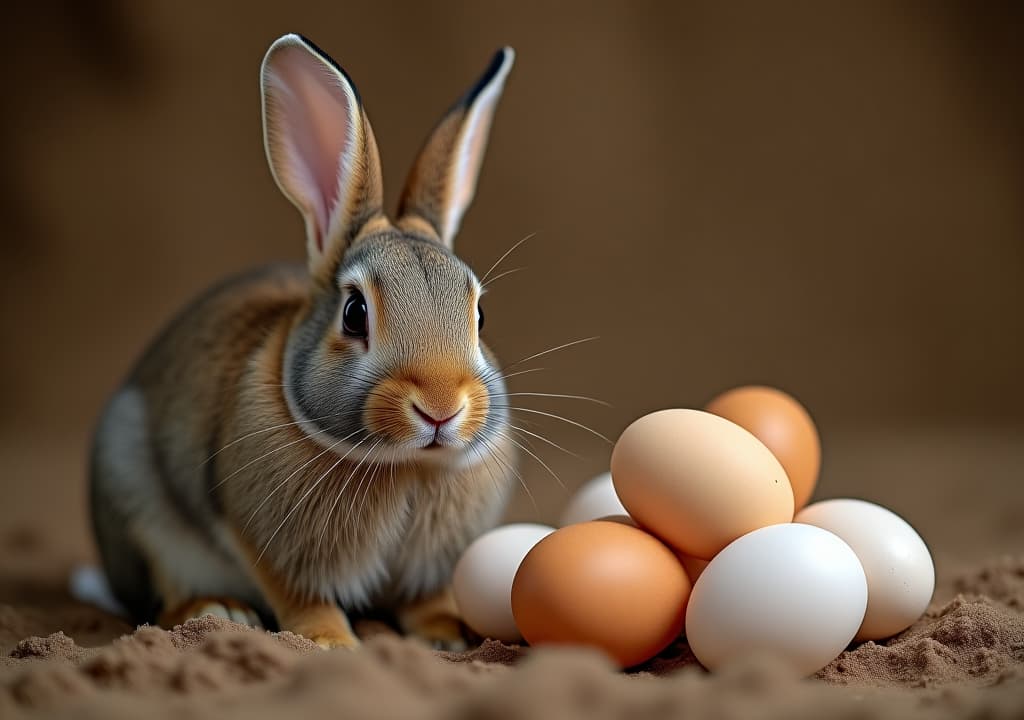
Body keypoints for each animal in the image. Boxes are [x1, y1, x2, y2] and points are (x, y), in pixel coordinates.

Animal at [88, 35, 520, 655]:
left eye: (479, 316)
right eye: (355, 313)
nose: (441, 409)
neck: (406, 464)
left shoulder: (429, 565)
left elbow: (426, 599)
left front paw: (449, 635)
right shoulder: (263, 534)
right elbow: (299, 592)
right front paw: (330, 642)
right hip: (133, 498)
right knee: (163, 592)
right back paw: (216, 608)